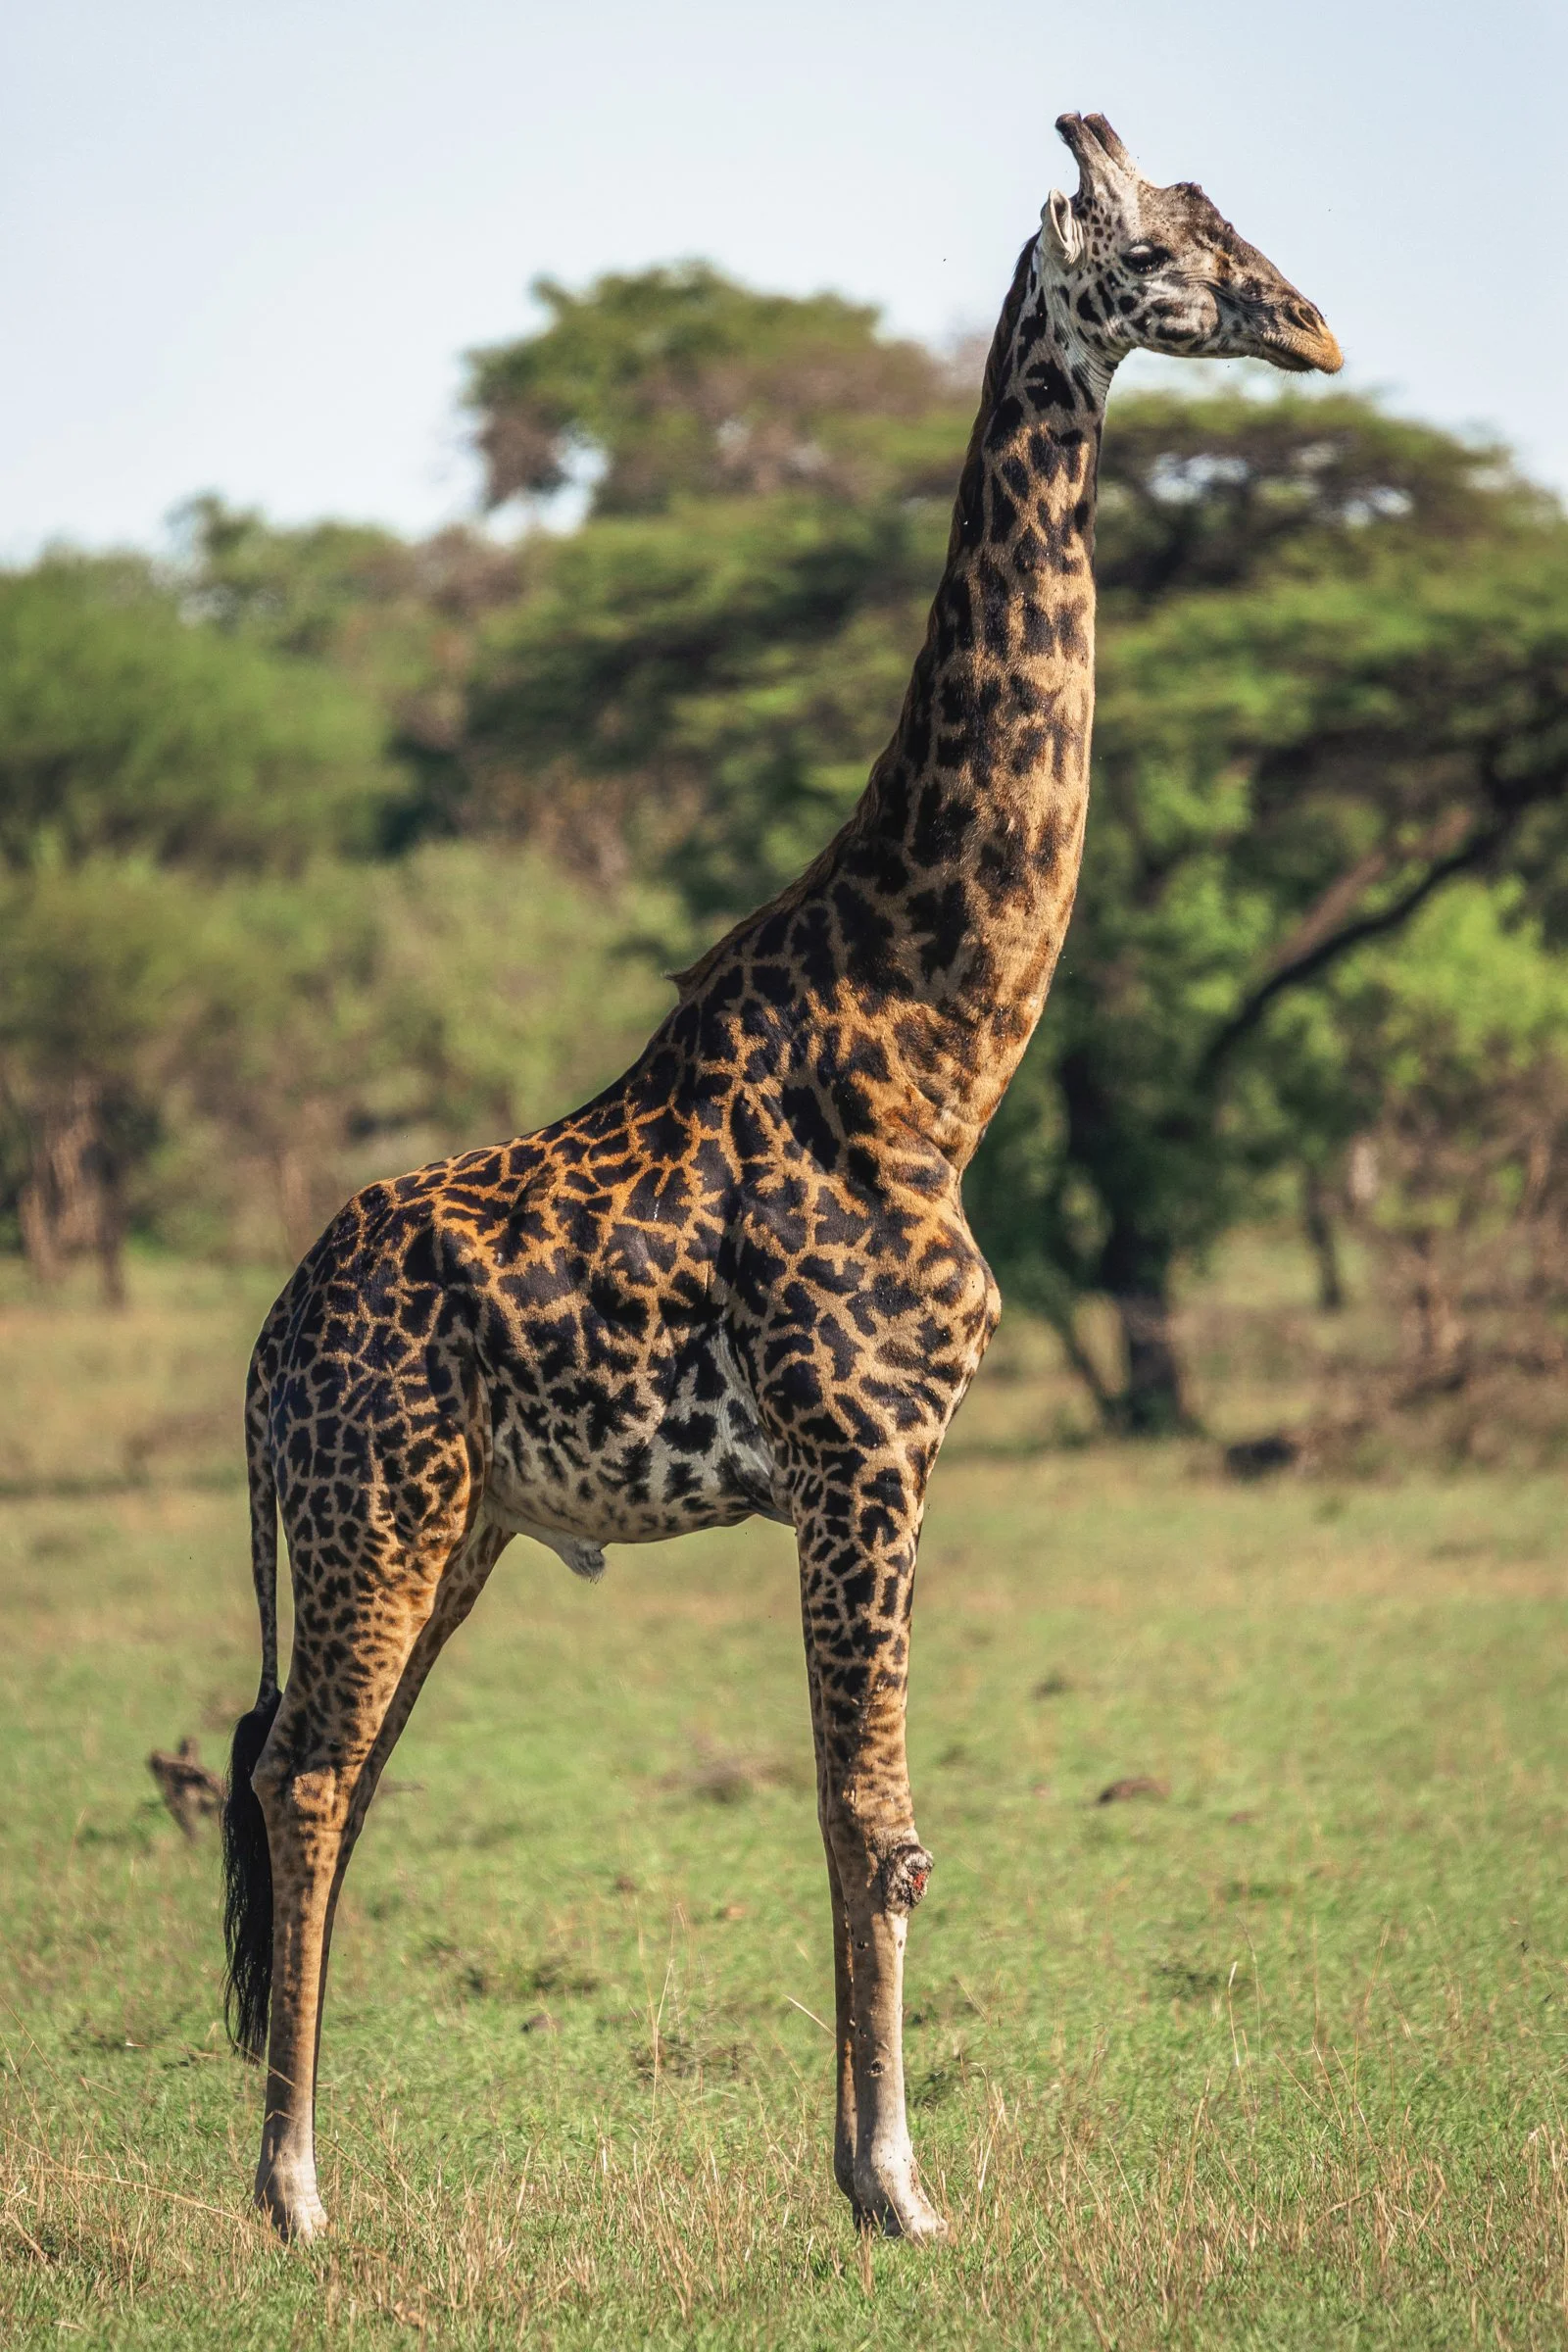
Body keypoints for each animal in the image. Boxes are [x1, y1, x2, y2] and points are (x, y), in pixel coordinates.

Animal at [222, 112, 1340, 2245]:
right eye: (1166, 242)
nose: (1313, 328)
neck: (938, 1040)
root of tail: (261, 1354)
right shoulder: (867, 1451)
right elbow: (878, 1823)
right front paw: (900, 2188)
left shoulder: (873, 1470)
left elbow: (850, 1820)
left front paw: (854, 2167)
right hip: (375, 1500)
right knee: (306, 1776)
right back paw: (295, 2194)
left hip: (454, 1522)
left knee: (323, 1766)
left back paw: (298, 2157)